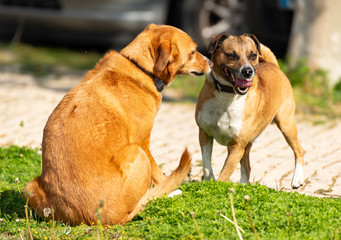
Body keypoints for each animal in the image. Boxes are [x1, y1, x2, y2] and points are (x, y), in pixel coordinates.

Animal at [23, 23, 211, 225]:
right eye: (193, 52)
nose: (211, 62)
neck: (140, 68)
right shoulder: (143, 142)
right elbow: (159, 174)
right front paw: (170, 189)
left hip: (30, 187)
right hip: (136, 152)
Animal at [195, 32, 304, 188]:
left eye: (253, 55)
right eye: (231, 55)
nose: (248, 71)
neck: (228, 93)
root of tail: (273, 65)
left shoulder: (236, 147)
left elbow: (224, 175)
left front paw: (215, 188)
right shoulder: (204, 134)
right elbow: (206, 164)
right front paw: (209, 181)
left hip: (286, 124)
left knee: (299, 150)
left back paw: (297, 179)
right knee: (247, 167)